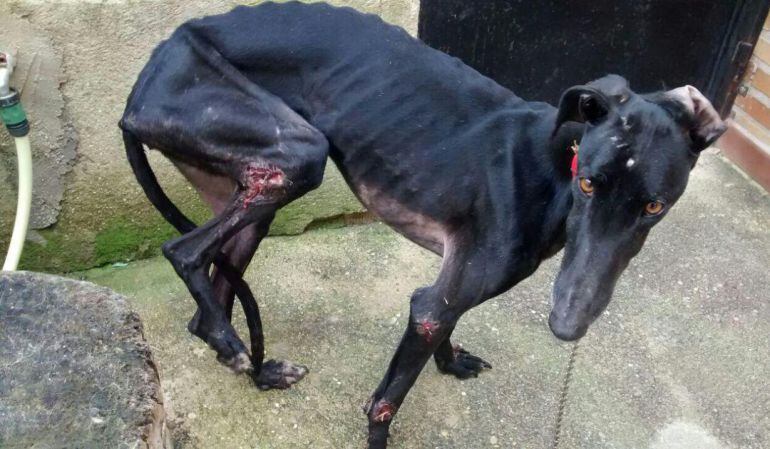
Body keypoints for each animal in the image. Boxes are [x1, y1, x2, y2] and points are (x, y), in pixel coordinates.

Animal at [117, 1, 724, 446]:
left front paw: (452, 364)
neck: (557, 164)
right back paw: (233, 342)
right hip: (294, 156)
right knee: (184, 253)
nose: (567, 325)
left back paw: (253, 366)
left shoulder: (450, 286)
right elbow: (385, 401)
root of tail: (153, 64)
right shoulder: (433, 306)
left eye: (654, 207)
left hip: (252, 190)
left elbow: (445, 324)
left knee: (206, 305)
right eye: (591, 184)